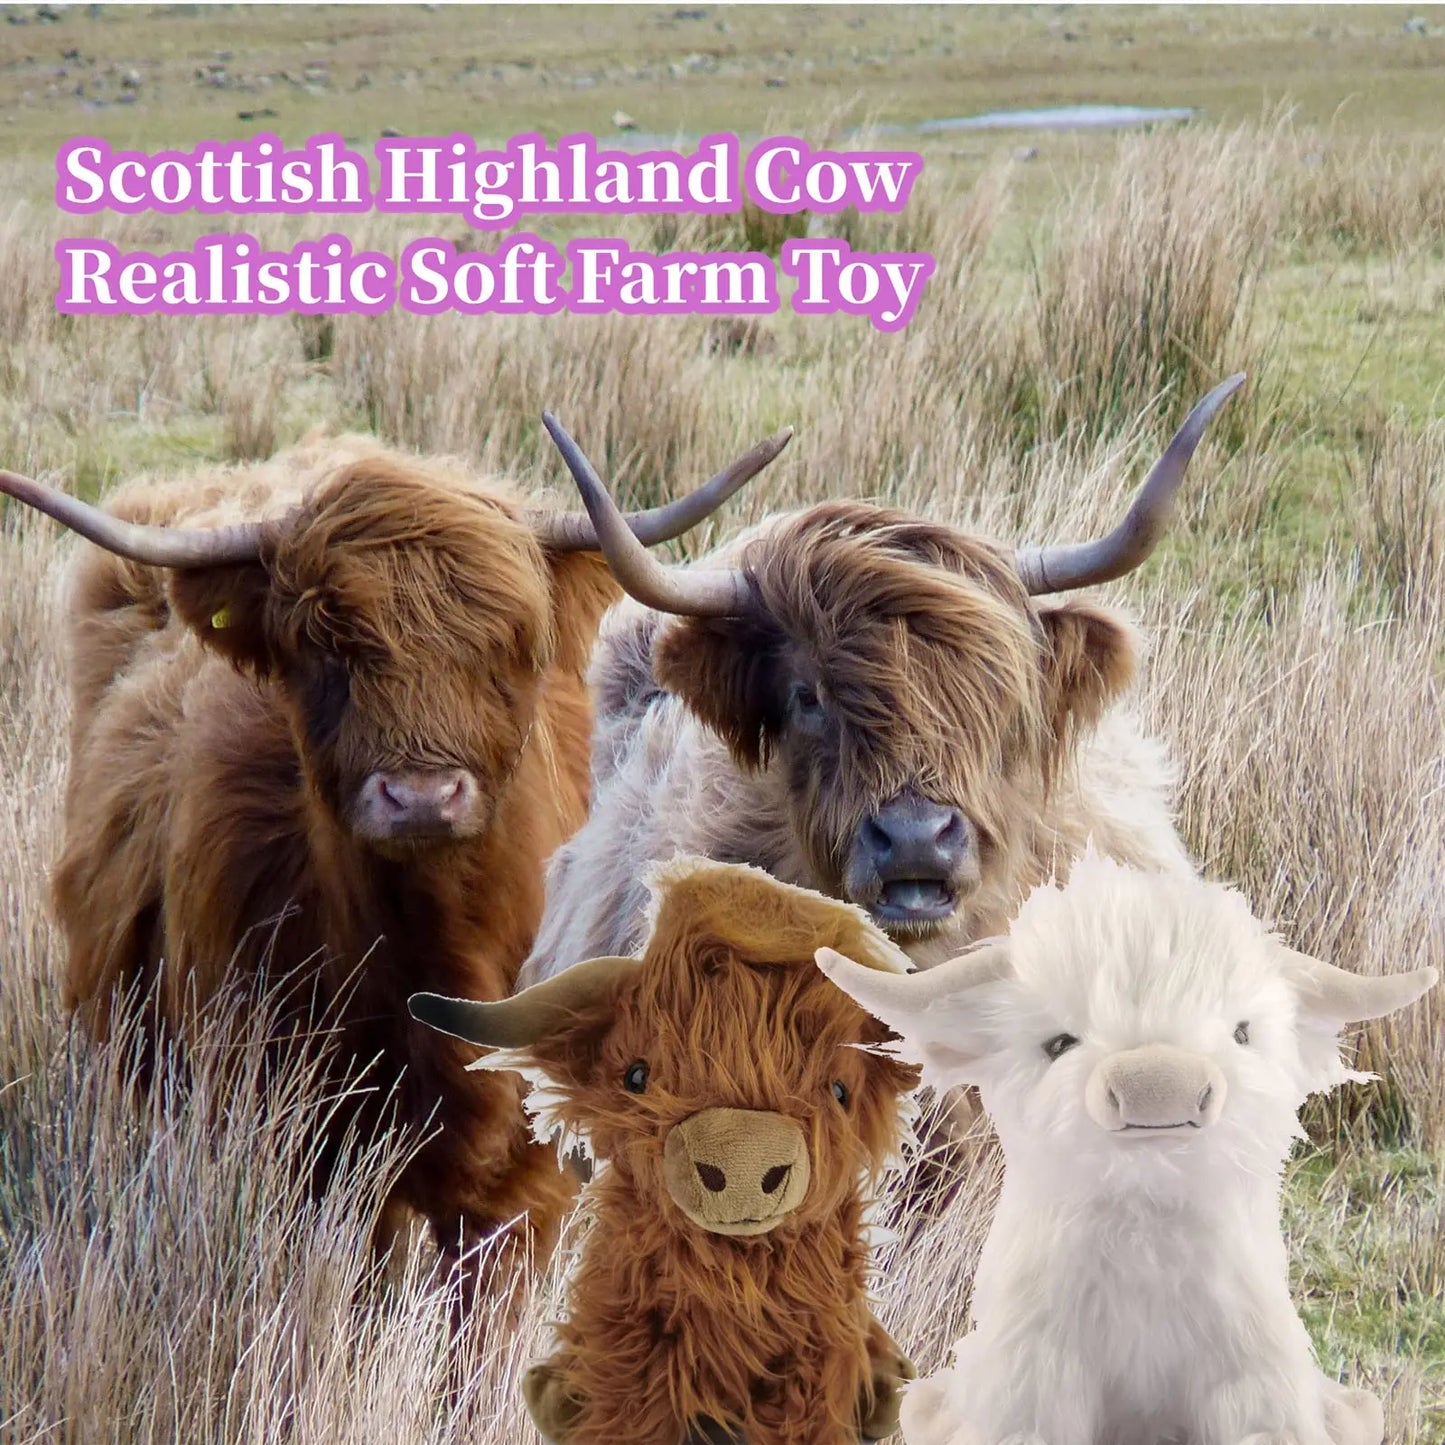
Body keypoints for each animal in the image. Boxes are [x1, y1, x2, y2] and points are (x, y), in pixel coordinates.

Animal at [0, 423, 787, 1300]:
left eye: (509, 646)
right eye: (323, 647)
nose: (420, 795)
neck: (438, 949)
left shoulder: (521, 1183)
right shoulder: (308, 1149)